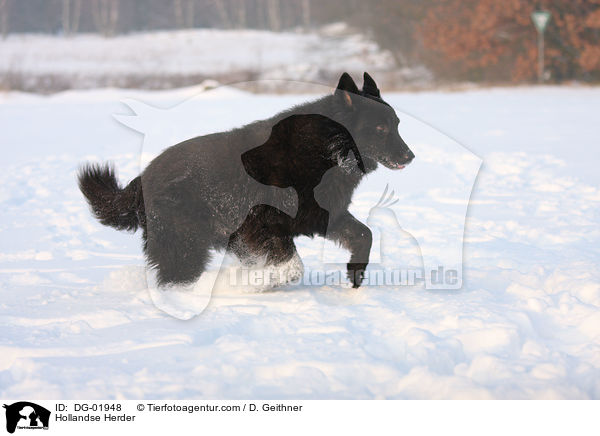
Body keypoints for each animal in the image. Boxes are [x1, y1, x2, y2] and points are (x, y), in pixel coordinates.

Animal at [79, 73, 414, 288]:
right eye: (381, 129)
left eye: (397, 124)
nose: (410, 156)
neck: (326, 151)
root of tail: (142, 178)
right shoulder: (263, 224)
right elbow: (293, 266)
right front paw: (260, 284)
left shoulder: (323, 216)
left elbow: (365, 235)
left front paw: (355, 275)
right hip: (186, 243)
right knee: (176, 278)